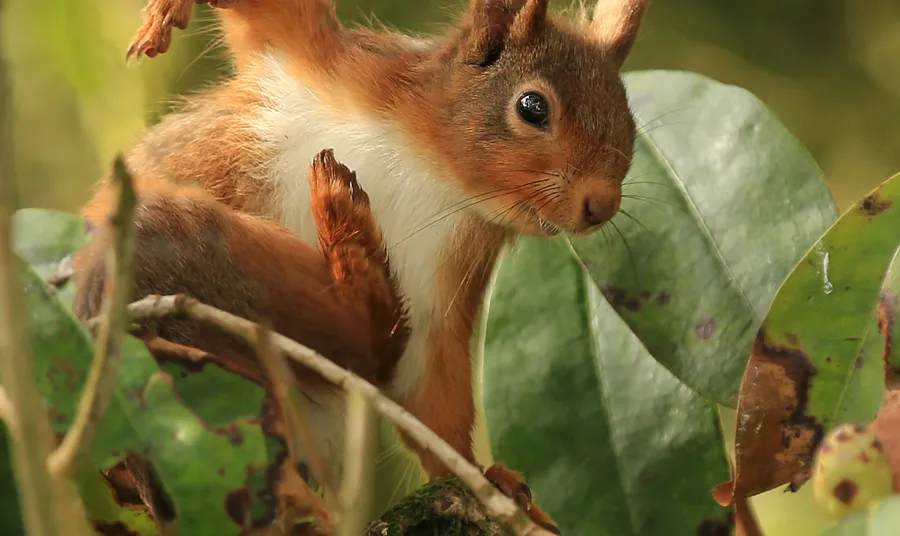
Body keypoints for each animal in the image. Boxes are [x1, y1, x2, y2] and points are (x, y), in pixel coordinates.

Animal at [72, 0, 648, 532]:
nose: (603, 205)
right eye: (532, 106)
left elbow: (433, 388)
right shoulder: (327, 63)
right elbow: (268, 22)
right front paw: (164, 14)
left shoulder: (447, 279)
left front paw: (484, 476)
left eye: (629, 115)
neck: (433, 168)